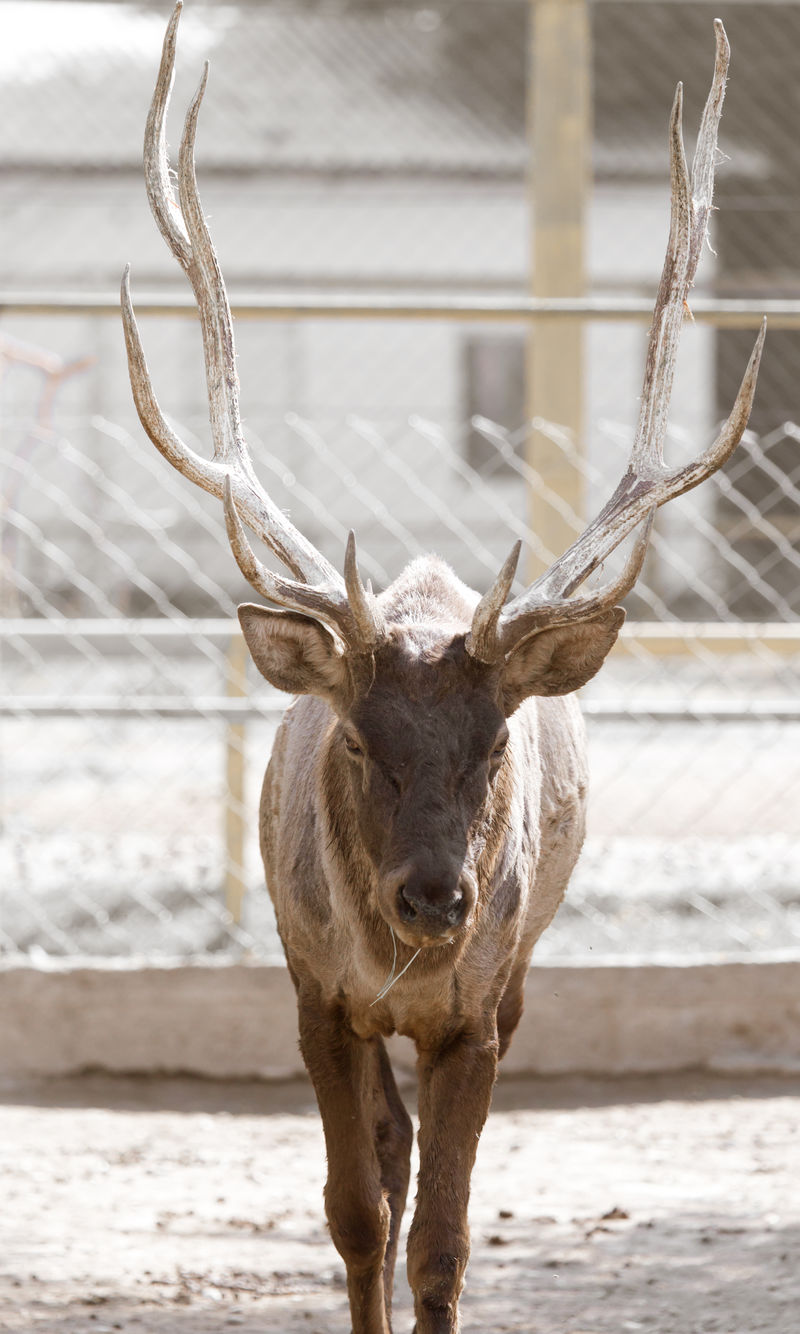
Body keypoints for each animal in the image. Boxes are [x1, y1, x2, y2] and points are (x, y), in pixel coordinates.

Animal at [122, 5, 768, 1328]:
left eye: (495, 739)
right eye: (359, 736)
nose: (435, 897)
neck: (394, 963)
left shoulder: (478, 1010)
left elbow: (444, 1239)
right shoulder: (314, 992)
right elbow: (357, 1214)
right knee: (384, 1156)